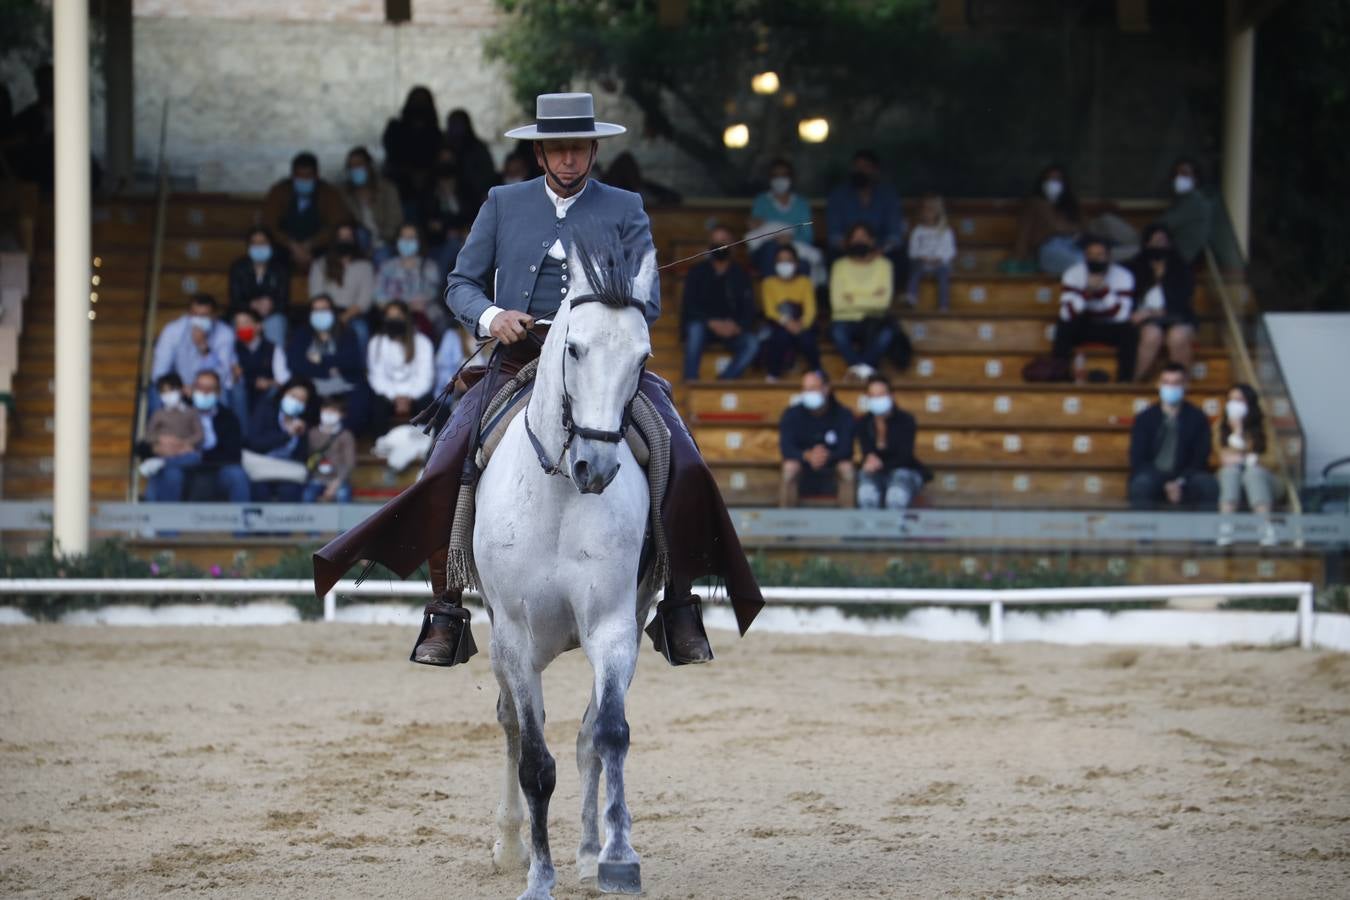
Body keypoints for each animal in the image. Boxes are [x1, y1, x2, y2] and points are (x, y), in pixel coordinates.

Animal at [475, 236, 658, 895]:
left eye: (642, 355)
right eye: (573, 348)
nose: (595, 468)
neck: (557, 493)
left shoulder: (613, 625)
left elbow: (608, 735)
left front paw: (617, 856)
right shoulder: (514, 637)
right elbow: (533, 760)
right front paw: (537, 875)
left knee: (586, 738)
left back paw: (587, 851)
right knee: (508, 725)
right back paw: (510, 845)